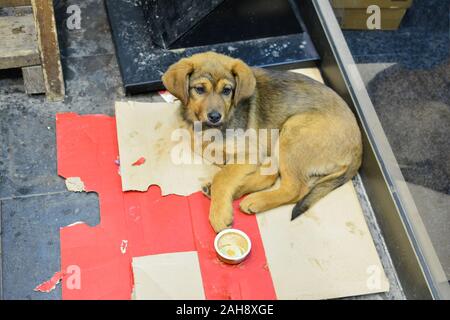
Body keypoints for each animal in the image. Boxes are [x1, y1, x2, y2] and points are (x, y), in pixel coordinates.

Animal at [162, 52, 362, 232]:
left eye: (227, 90)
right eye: (199, 89)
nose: (215, 116)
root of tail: (358, 148)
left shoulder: (251, 152)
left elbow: (222, 176)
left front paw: (219, 214)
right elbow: (208, 150)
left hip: (292, 131)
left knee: (294, 189)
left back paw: (255, 200)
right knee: (272, 175)